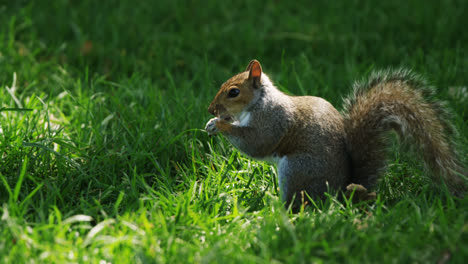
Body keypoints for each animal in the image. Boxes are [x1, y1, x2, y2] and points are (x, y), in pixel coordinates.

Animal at [206, 59, 468, 206]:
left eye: (233, 92)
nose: (211, 109)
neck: (259, 102)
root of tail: (341, 194)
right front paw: (212, 122)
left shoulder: (272, 121)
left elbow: (255, 144)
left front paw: (220, 125)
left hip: (297, 170)